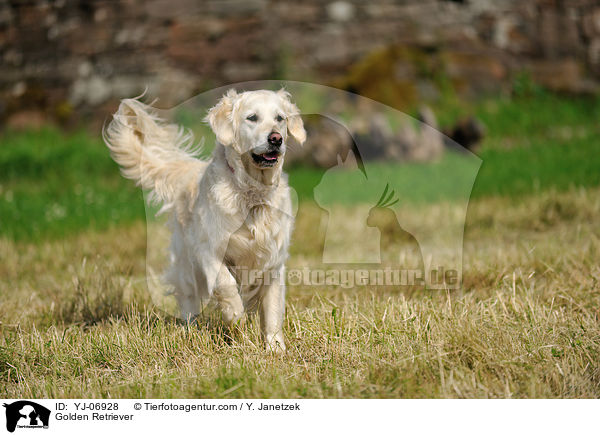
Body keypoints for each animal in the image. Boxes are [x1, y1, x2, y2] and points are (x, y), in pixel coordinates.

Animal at [102, 89, 304, 350]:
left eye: (280, 118)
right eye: (252, 118)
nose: (276, 139)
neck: (251, 192)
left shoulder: (273, 260)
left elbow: (272, 310)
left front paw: (275, 348)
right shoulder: (209, 251)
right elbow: (226, 286)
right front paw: (236, 320)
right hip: (187, 267)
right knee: (188, 300)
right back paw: (191, 331)